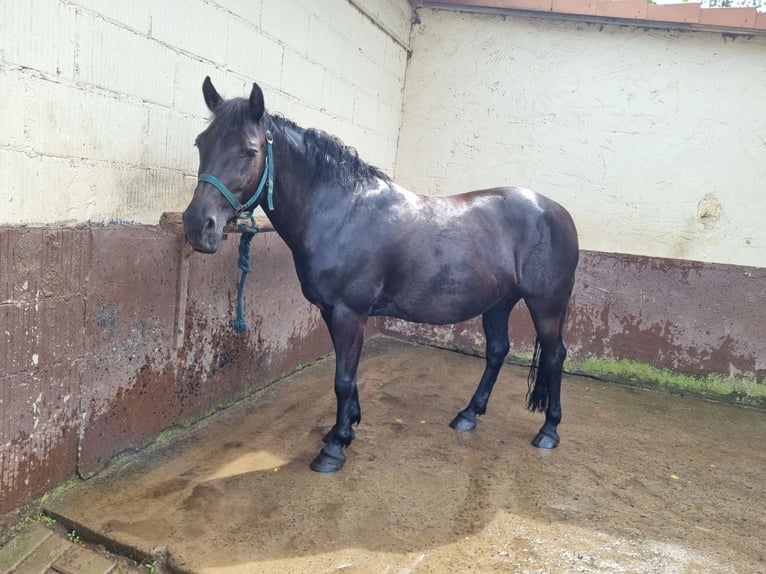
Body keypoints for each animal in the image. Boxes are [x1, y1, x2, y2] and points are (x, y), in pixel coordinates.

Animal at [183, 77, 580, 472]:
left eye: (249, 152)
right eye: (200, 143)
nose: (197, 226)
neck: (341, 214)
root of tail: (556, 210)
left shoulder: (350, 312)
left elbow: (343, 379)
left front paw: (335, 448)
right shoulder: (331, 311)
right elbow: (347, 373)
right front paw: (344, 429)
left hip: (546, 304)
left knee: (555, 355)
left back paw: (549, 431)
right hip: (499, 302)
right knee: (497, 351)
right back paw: (468, 414)